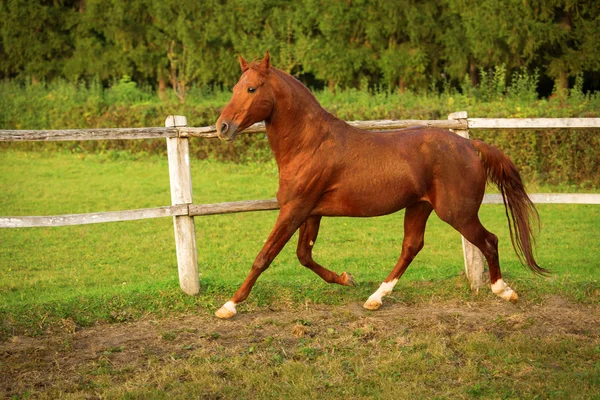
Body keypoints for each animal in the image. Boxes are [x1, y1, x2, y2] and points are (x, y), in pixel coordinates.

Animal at [213, 50, 548, 318]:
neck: (310, 144)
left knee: (489, 240)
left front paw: (229, 306)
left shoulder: (294, 210)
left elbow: (264, 256)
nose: (222, 127)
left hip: (458, 213)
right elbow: (304, 256)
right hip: (419, 207)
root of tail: (471, 146)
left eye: (251, 88)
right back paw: (375, 298)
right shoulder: (311, 212)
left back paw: (504, 291)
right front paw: (346, 278)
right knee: (412, 246)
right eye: (234, 88)